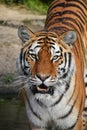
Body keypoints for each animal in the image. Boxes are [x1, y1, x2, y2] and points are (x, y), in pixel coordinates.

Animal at [17, 0, 87, 130]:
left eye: (55, 57)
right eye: (33, 56)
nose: (42, 77)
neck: (48, 102)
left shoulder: (73, 123)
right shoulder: (36, 124)